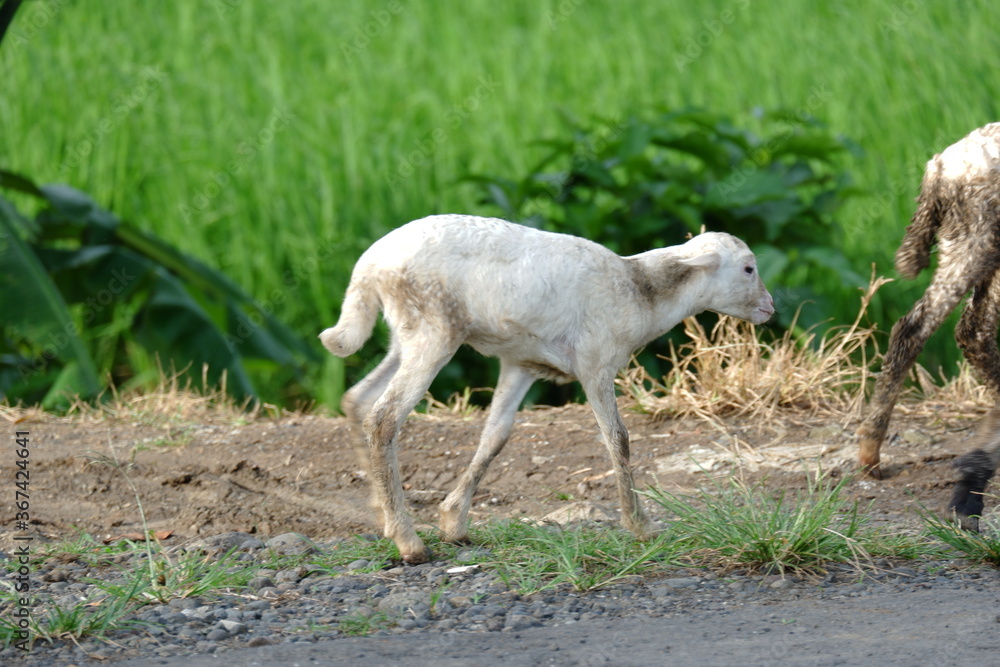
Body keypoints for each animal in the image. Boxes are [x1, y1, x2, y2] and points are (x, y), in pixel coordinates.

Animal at [320, 215, 772, 564]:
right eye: (749, 268)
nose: (770, 308)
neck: (641, 290)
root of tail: (369, 266)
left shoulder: (521, 363)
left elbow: (495, 436)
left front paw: (454, 521)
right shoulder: (596, 363)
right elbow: (618, 439)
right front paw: (641, 526)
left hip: (405, 334)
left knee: (358, 399)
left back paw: (382, 513)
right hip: (433, 328)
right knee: (384, 418)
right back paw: (408, 542)